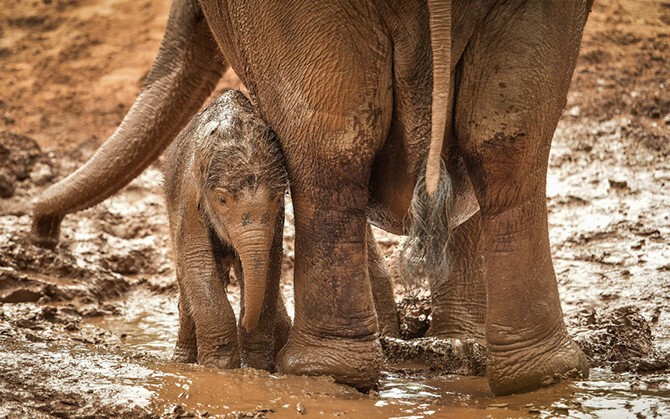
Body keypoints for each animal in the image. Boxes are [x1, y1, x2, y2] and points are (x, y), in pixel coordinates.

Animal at [34, 0, 596, 398]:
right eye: (220, 200)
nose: (43, 230)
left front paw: (246, 363)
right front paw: (228, 368)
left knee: (338, 139)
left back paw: (324, 374)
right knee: (498, 137)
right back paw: (533, 376)